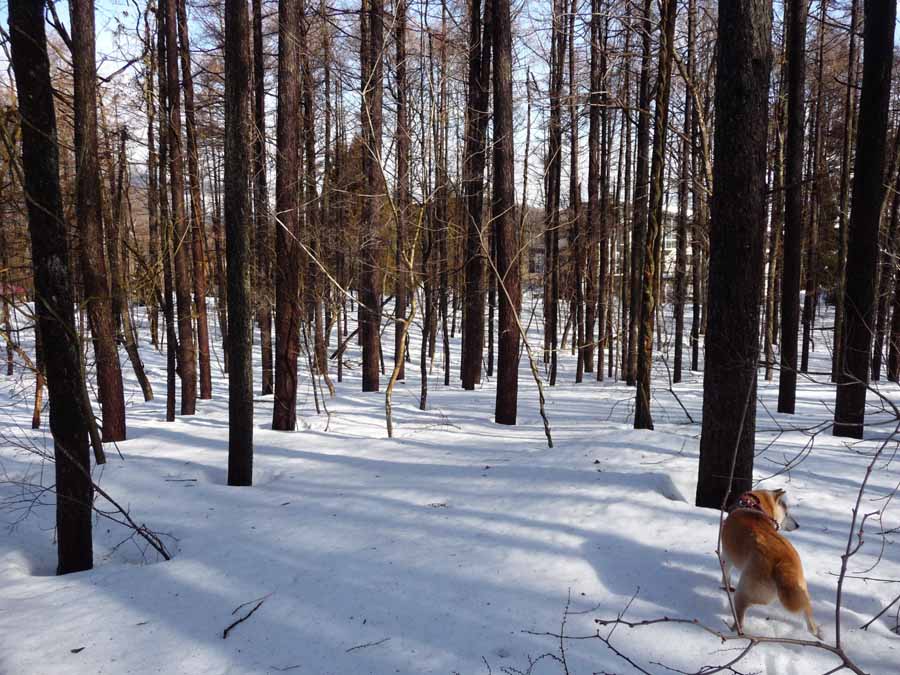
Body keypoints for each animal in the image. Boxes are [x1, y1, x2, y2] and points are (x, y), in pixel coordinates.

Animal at [720, 492, 820, 640]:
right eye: (786, 513)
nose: (797, 525)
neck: (752, 506)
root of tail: (782, 564)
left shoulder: (726, 556)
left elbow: (725, 574)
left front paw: (725, 586)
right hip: (802, 592)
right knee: (808, 616)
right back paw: (816, 635)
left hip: (746, 591)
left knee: (740, 614)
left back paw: (734, 631)